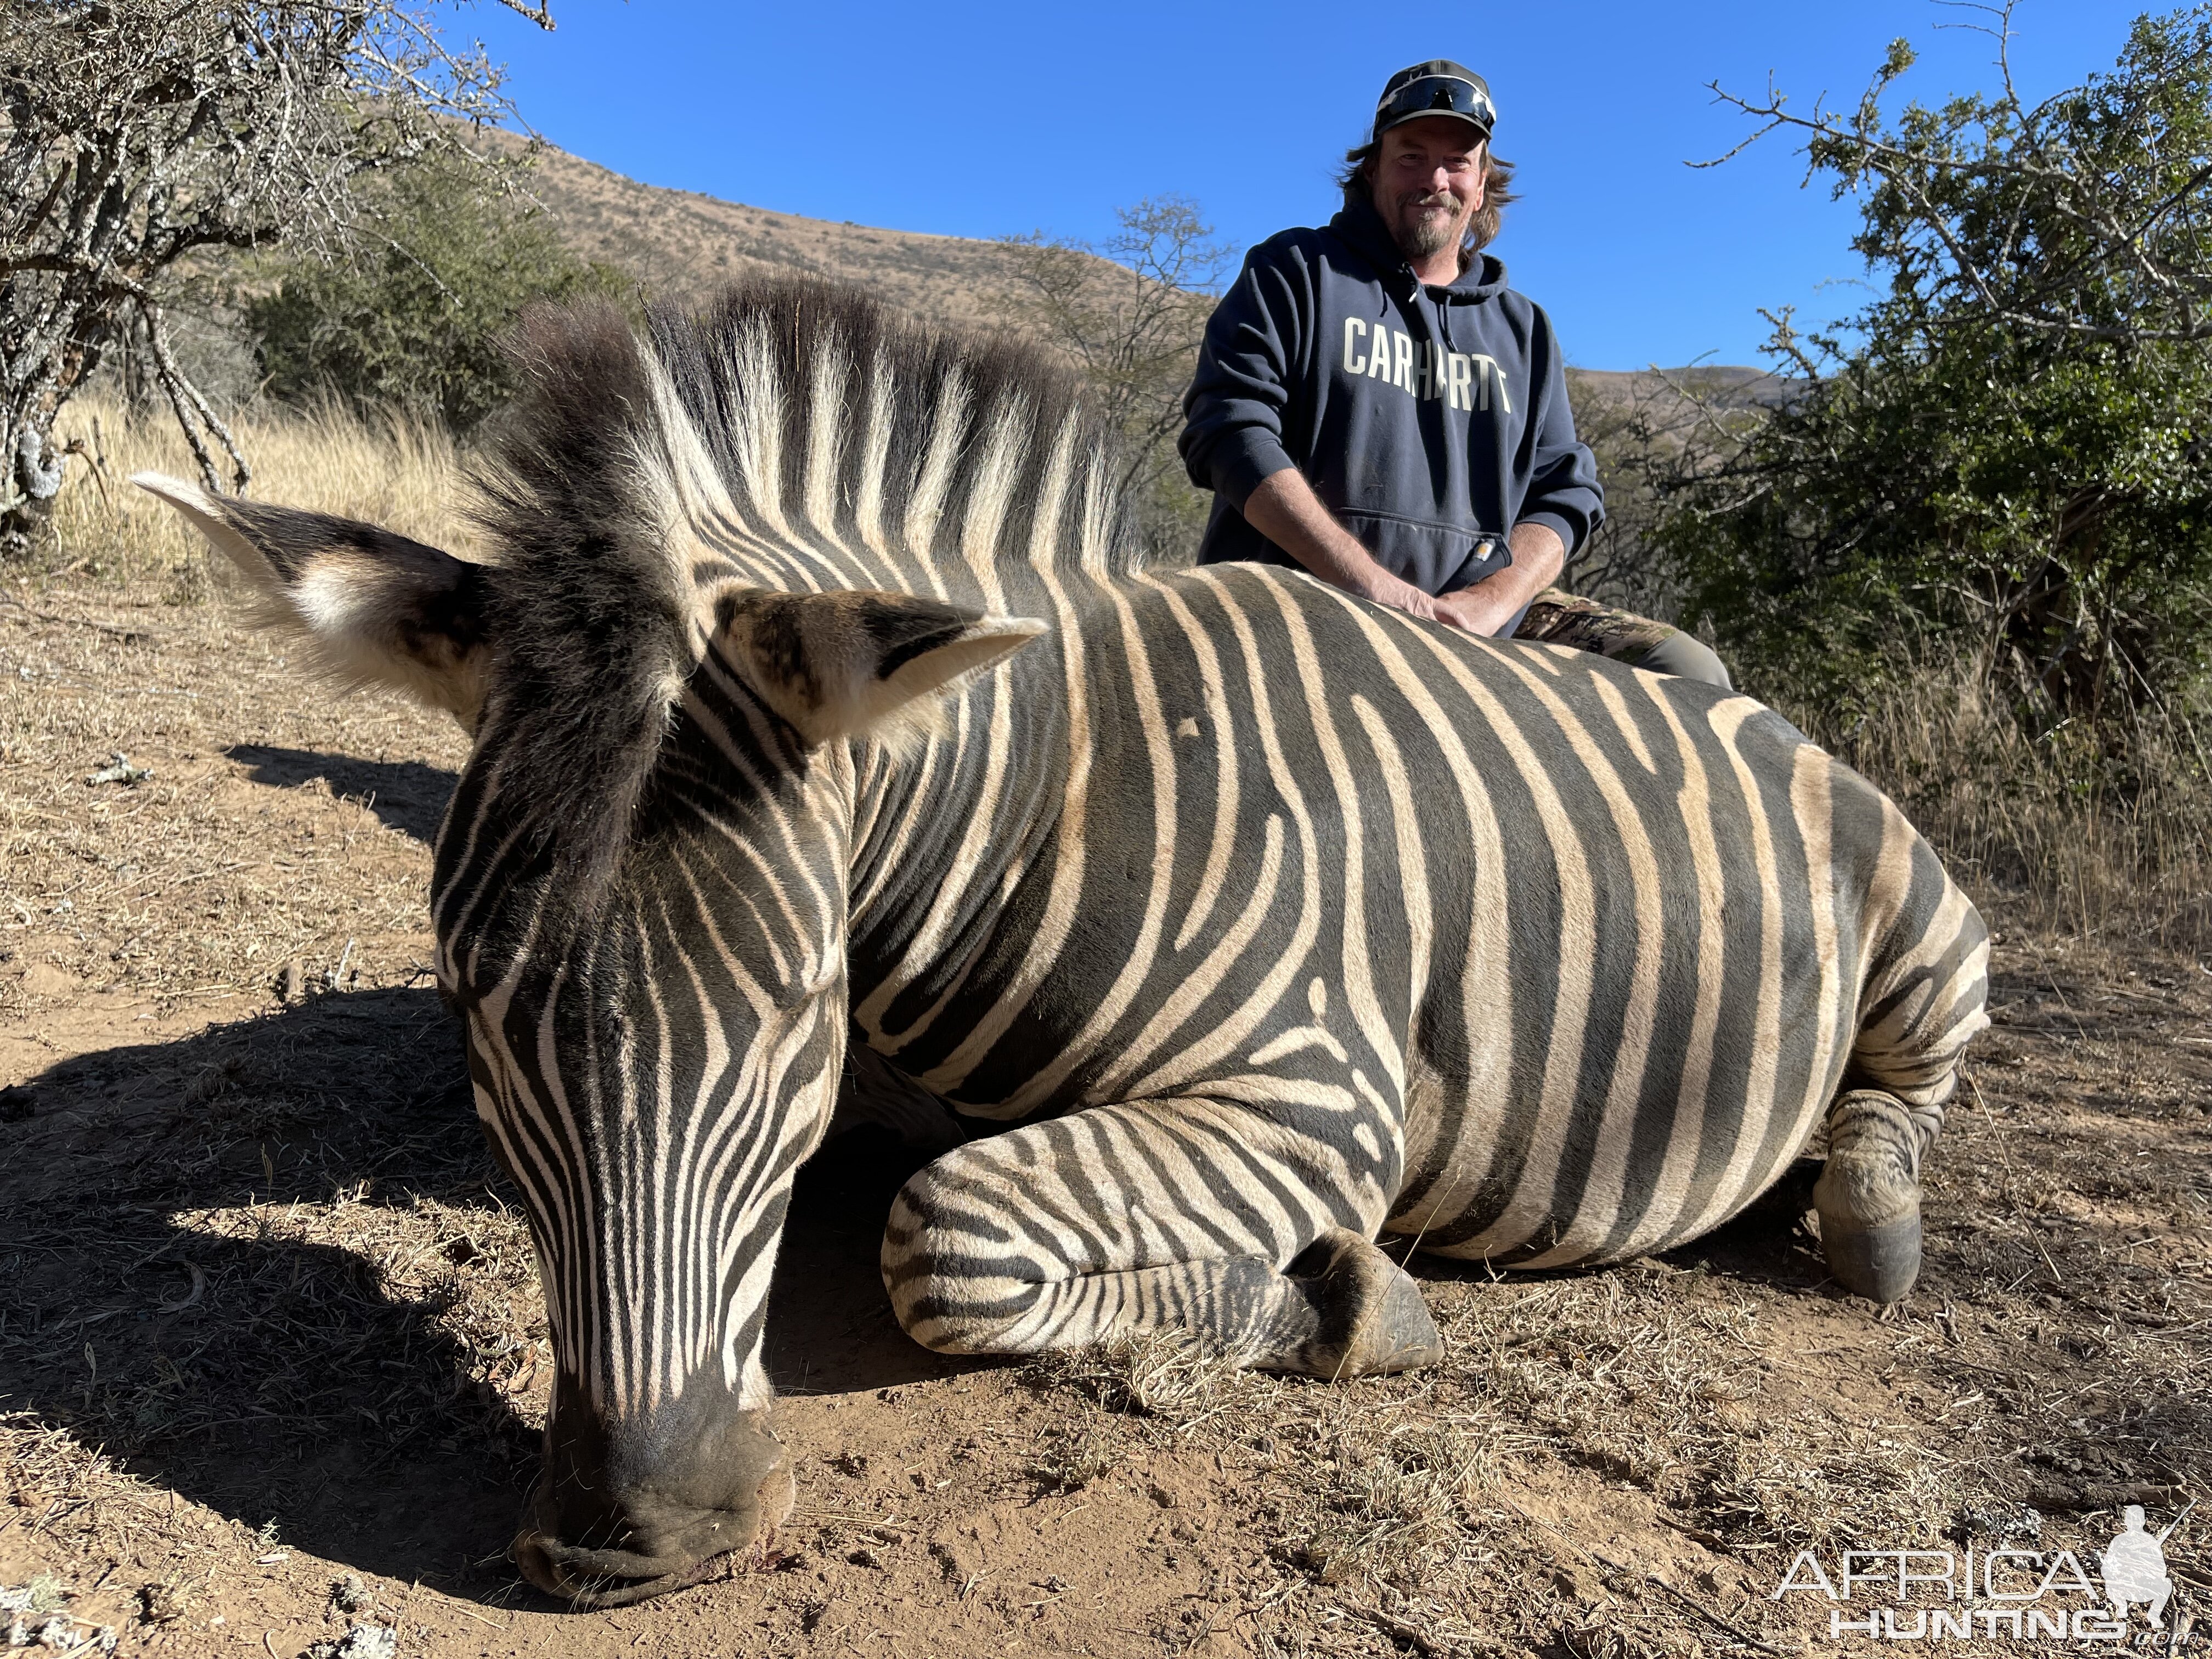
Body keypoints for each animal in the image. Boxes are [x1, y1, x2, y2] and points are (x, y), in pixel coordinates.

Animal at [143, 276, 1990, 1610]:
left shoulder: (1316, 1100)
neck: (1044, 799)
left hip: (1925, 923)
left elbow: (942, 1234)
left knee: (1906, 1093)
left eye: (796, 1009)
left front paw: (1347, 1302)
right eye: (473, 1006)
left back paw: (1867, 1214)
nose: (632, 1544)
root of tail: (1748, 696)